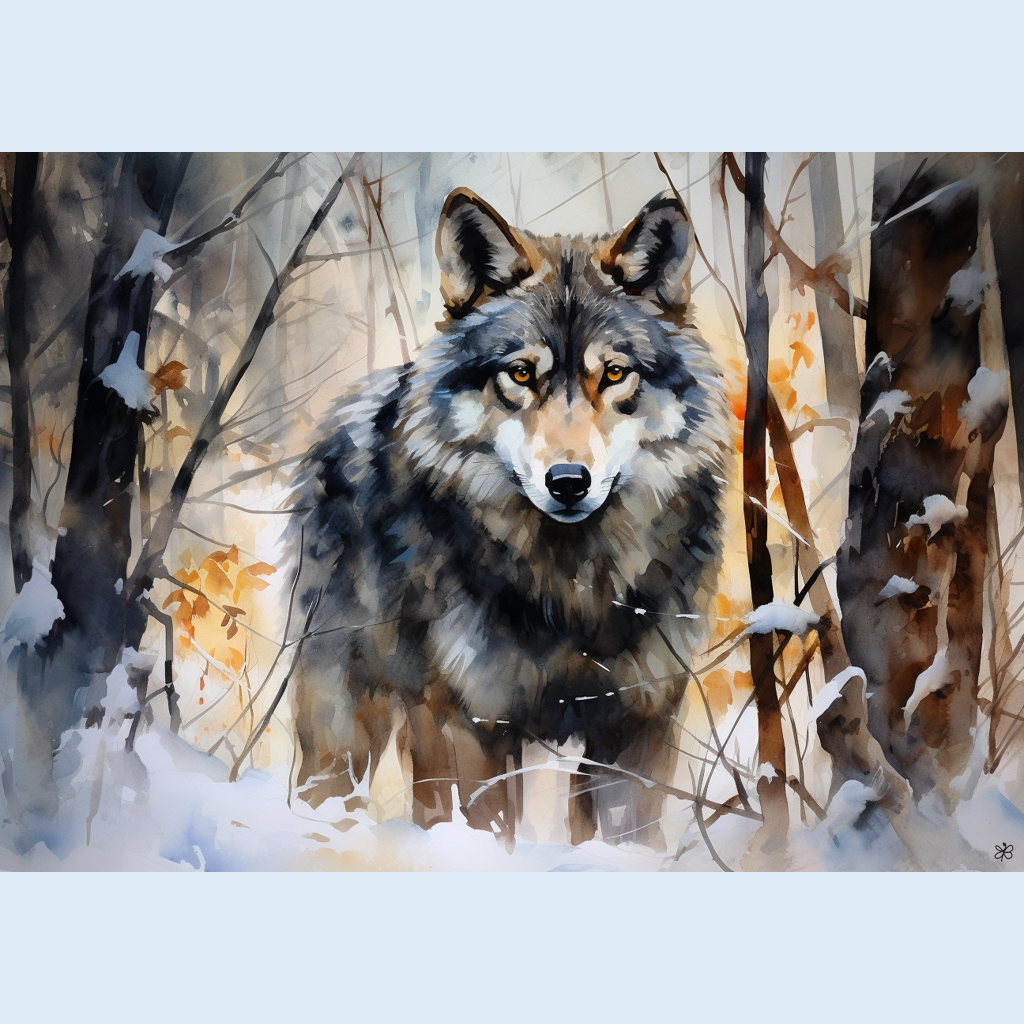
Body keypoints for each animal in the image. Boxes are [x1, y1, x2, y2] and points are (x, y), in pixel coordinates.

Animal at [287, 186, 731, 848]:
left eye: (615, 373)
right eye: (521, 373)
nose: (569, 482)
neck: (574, 591)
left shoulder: (638, 725)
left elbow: (629, 840)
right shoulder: (473, 724)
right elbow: (489, 833)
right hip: (350, 729)